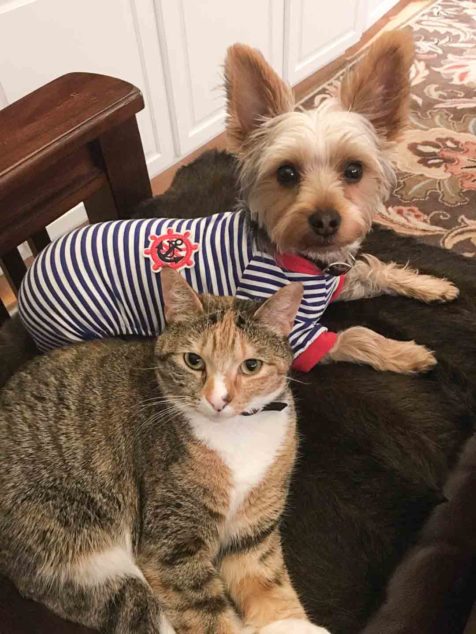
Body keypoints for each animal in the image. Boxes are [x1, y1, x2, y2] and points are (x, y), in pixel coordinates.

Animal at [0, 266, 330, 632]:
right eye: (193, 360)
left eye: (252, 366)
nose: (218, 400)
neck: (235, 433)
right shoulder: (170, 547)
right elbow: (207, 614)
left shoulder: (253, 533)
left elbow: (268, 584)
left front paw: (293, 622)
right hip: (81, 551)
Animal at [225, 29, 460, 372]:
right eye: (286, 173)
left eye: (354, 170)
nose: (325, 220)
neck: (311, 261)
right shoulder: (290, 333)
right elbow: (359, 334)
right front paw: (406, 353)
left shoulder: (337, 283)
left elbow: (374, 270)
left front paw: (430, 285)